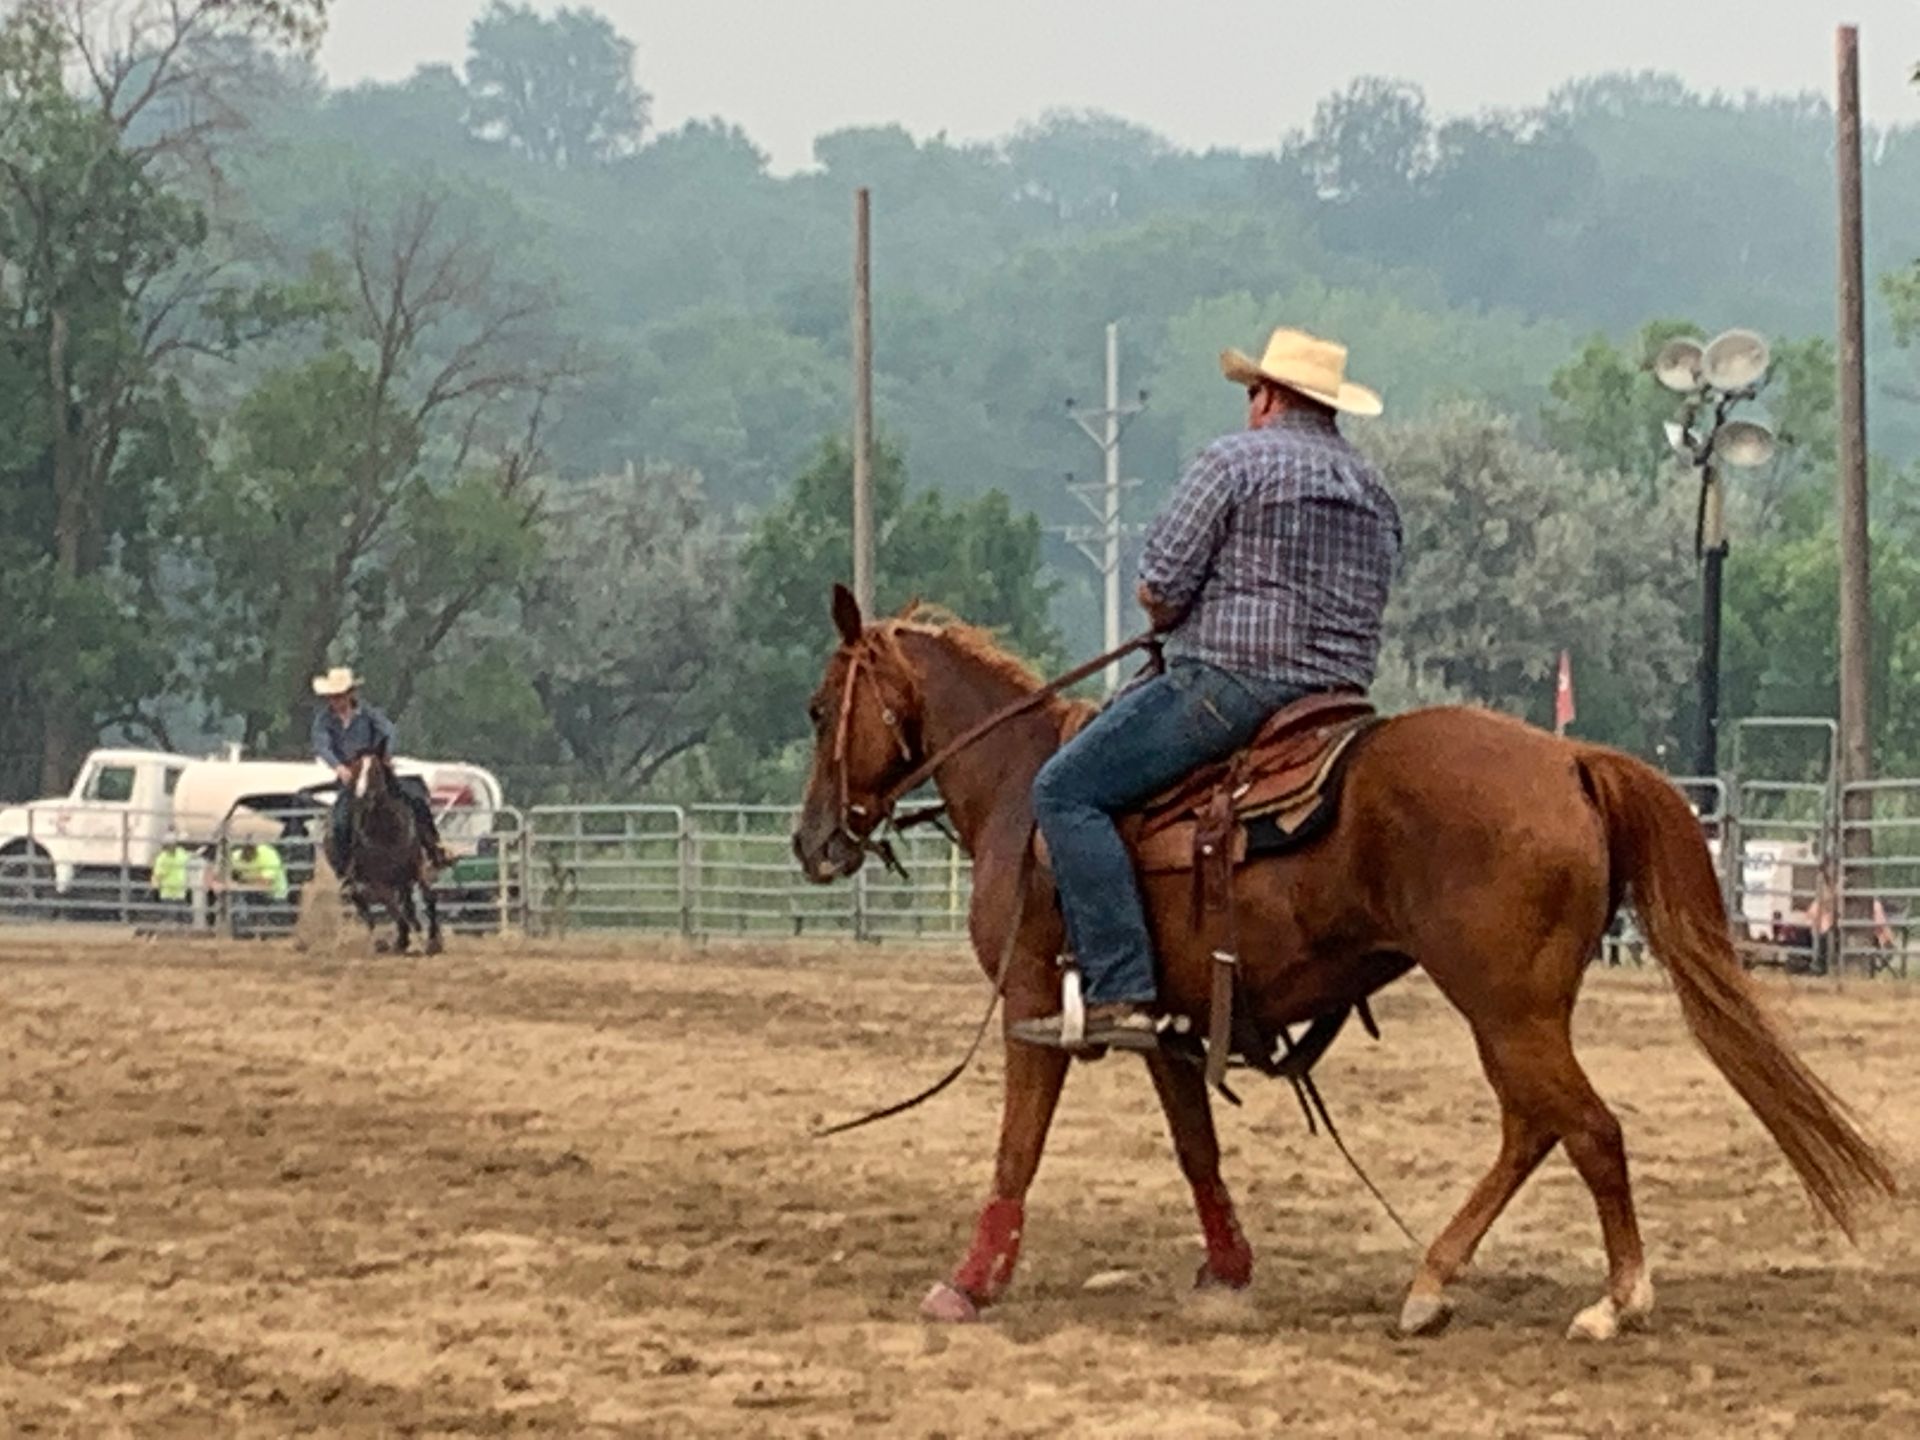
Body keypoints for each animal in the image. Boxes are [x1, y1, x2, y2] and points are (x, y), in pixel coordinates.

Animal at [339, 744, 443, 956]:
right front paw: (403, 940)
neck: (387, 830)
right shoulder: (378, 881)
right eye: (355, 769)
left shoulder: (415, 866)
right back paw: (384, 942)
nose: (361, 797)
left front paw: (433, 940)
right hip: (362, 886)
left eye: (376, 770)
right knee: (367, 908)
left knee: (406, 905)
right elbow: (393, 908)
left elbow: (428, 897)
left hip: (402, 878)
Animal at [790, 585, 1896, 1340]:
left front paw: (968, 1284)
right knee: (1536, 1127)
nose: (811, 843)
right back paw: (1433, 1282)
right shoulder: (1166, 1022)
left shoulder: (1035, 1003)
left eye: (815, 706)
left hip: (1507, 1008)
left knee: (1589, 1129)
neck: (1024, 792)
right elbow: (1198, 1150)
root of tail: (1569, 759)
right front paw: (1228, 1270)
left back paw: (1613, 1300)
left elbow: (1016, 1149)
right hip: (1518, 1014)